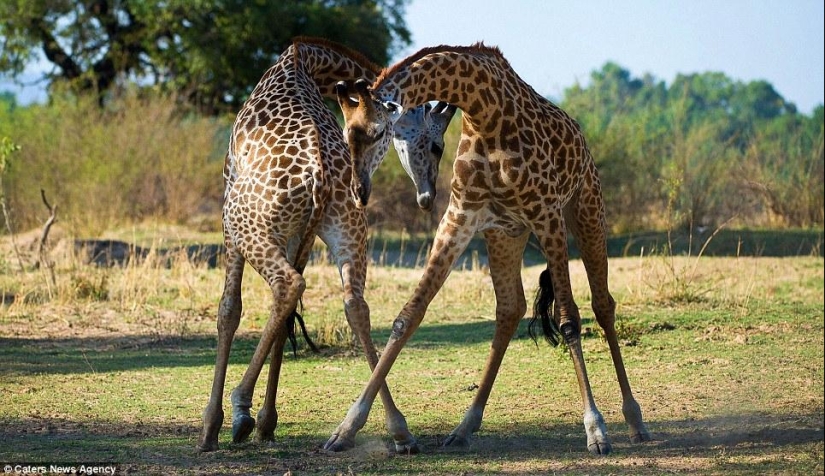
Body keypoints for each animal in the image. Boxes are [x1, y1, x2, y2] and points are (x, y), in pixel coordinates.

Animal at [196, 37, 456, 453]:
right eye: (436, 145)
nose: (427, 196)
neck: (306, 60)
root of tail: (320, 175)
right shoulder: (299, 234)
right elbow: (286, 320)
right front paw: (268, 422)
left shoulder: (227, 202)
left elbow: (229, 310)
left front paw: (215, 424)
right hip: (346, 228)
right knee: (354, 304)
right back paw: (397, 429)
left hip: (242, 221)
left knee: (288, 285)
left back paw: (239, 407)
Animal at [324, 43, 652, 456]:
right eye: (347, 134)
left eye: (380, 131)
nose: (359, 191)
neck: (484, 111)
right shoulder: (460, 216)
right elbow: (407, 316)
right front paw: (348, 428)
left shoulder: (547, 215)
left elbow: (569, 321)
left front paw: (595, 429)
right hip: (506, 234)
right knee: (510, 309)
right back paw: (464, 427)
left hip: (586, 209)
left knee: (602, 304)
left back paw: (636, 421)